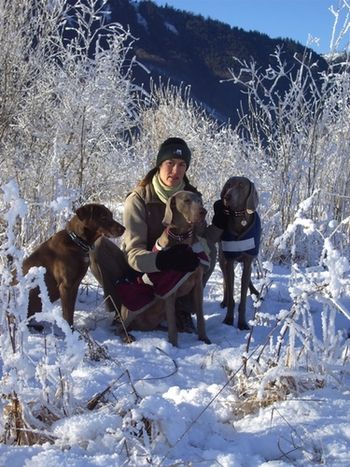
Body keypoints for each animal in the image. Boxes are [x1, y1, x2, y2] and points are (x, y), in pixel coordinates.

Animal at [120, 190, 212, 348]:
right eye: (187, 200)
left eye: (200, 201)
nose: (203, 211)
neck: (182, 239)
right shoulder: (169, 289)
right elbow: (172, 325)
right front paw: (174, 346)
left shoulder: (198, 286)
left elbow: (200, 315)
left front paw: (204, 338)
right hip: (136, 304)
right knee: (119, 326)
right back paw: (127, 336)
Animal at [219, 177, 260, 330]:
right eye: (229, 184)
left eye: (242, 185)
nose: (227, 196)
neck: (239, 218)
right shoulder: (229, 260)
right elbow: (230, 286)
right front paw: (229, 319)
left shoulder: (248, 260)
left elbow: (243, 293)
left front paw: (242, 323)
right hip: (222, 257)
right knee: (225, 280)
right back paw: (224, 301)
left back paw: (255, 292)